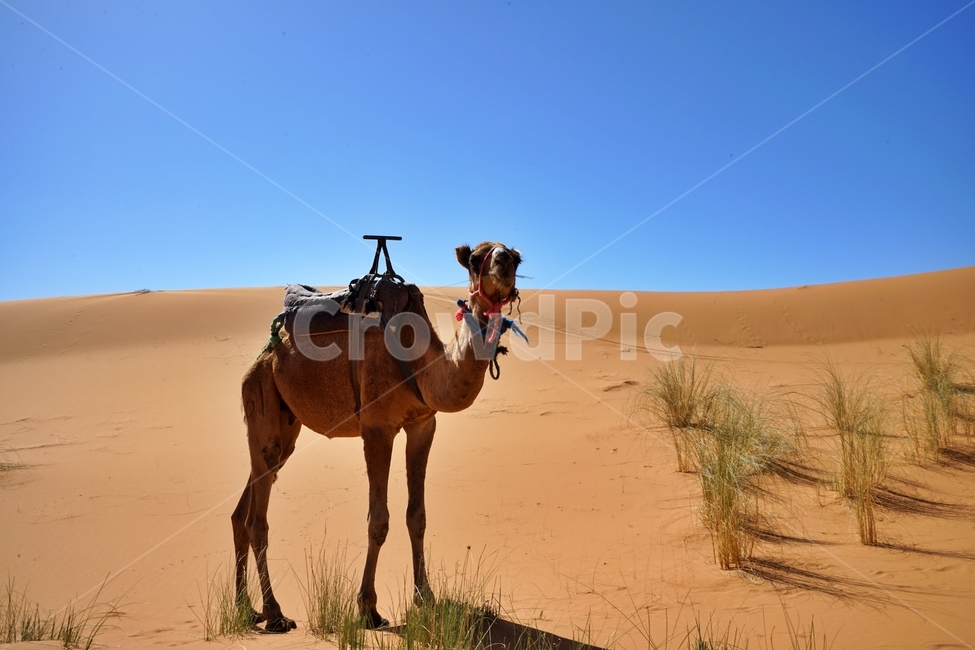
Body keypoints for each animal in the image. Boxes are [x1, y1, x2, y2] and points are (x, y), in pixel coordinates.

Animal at [231, 241, 522, 632]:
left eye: (517, 257)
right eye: (476, 259)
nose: (503, 263)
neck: (420, 365)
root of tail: (260, 359)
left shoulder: (423, 424)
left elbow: (418, 516)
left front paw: (425, 598)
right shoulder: (377, 429)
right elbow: (378, 520)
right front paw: (368, 609)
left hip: (282, 423)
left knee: (243, 509)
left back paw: (245, 608)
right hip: (261, 395)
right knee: (256, 519)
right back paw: (275, 613)